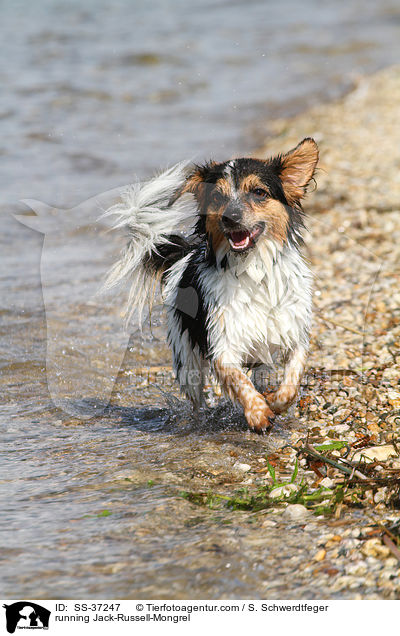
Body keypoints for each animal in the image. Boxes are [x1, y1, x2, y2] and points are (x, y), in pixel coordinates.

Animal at [104, 139, 318, 434]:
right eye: (217, 198)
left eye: (259, 192)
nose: (231, 216)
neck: (253, 269)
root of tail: (184, 255)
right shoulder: (222, 342)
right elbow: (238, 379)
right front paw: (258, 413)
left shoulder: (293, 334)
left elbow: (291, 381)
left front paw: (274, 403)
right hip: (186, 357)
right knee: (197, 400)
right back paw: (198, 421)